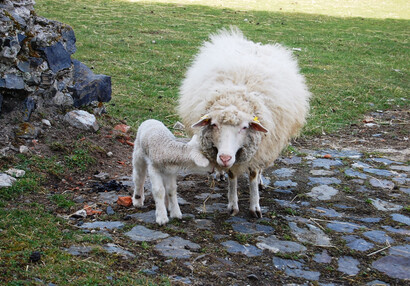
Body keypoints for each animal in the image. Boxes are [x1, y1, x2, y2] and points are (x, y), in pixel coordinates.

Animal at [177, 27, 310, 218]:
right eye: (214, 124)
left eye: (245, 127)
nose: (225, 157)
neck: (235, 98)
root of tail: (254, 44)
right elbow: (232, 176)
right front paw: (233, 205)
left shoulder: (256, 148)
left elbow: (253, 175)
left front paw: (255, 206)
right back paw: (221, 174)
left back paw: (260, 182)